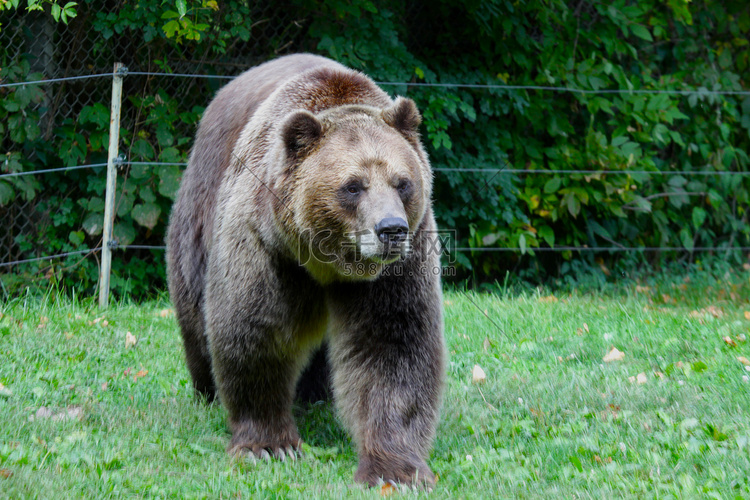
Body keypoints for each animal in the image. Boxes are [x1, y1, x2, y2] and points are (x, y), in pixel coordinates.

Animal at [166, 52, 446, 486]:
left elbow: (394, 346)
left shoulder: (399, 269)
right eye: (353, 185)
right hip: (199, 211)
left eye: (403, 182)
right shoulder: (266, 246)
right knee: (196, 314)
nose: (391, 229)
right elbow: (254, 331)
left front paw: (396, 469)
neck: (328, 263)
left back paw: (315, 395)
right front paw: (270, 445)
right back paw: (206, 390)